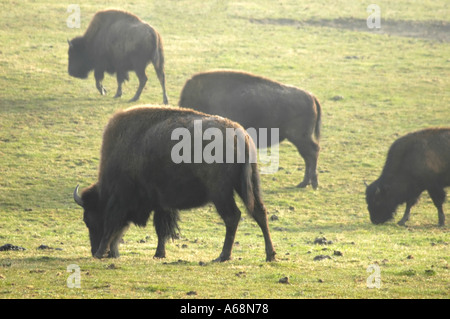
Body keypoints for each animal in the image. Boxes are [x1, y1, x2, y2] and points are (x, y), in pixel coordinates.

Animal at [72, 105, 276, 262]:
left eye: (89, 219)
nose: (94, 250)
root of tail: (239, 134)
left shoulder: (120, 199)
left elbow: (112, 225)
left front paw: (101, 252)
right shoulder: (161, 203)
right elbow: (161, 228)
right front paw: (159, 254)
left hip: (221, 192)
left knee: (233, 217)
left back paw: (223, 256)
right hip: (248, 184)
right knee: (259, 212)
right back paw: (270, 255)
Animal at [178, 70, 322, 190]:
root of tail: (311, 97)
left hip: (299, 137)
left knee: (312, 153)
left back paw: (309, 183)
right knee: (309, 155)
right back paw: (306, 183)